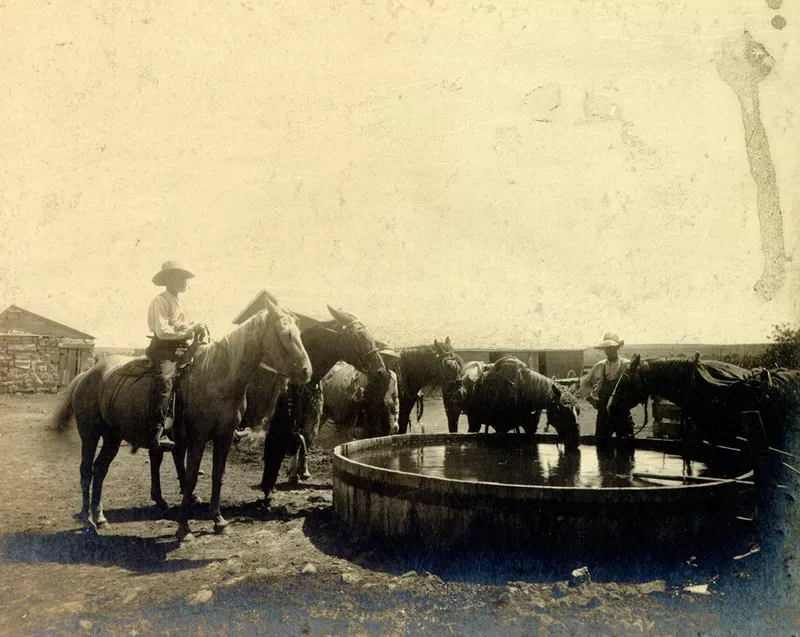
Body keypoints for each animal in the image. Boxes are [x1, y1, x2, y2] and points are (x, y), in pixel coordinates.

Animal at [51, 298, 310, 540]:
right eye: (285, 333)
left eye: (300, 331)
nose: (307, 371)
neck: (217, 376)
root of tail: (87, 374)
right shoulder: (197, 438)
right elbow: (190, 477)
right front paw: (184, 529)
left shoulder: (224, 437)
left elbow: (218, 476)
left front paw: (219, 521)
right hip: (90, 434)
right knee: (86, 470)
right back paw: (88, 522)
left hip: (113, 437)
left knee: (100, 469)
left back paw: (100, 518)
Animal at [238, 306, 388, 500]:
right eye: (357, 336)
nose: (381, 371)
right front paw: (287, 476)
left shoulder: (312, 419)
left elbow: (304, 438)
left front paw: (300, 471)